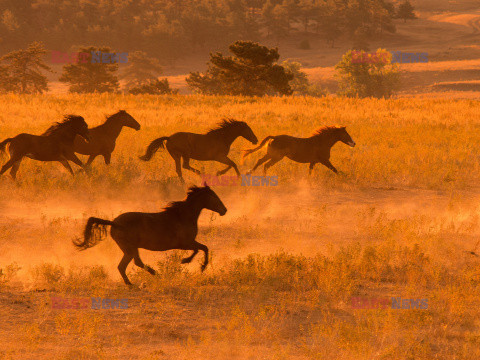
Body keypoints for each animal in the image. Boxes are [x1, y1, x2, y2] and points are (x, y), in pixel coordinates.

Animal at [73, 184, 227, 286]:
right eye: (213, 196)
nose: (224, 210)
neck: (182, 216)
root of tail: (114, 223)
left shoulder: (187, 243)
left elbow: (203, 248)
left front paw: (195, 265)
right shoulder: (185, 243)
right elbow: (202, 248)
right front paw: (191, 263)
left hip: (130, 249)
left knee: (127, 265)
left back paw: (140, 280)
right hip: (130, 248)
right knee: (130, 264)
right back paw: (149, 277)